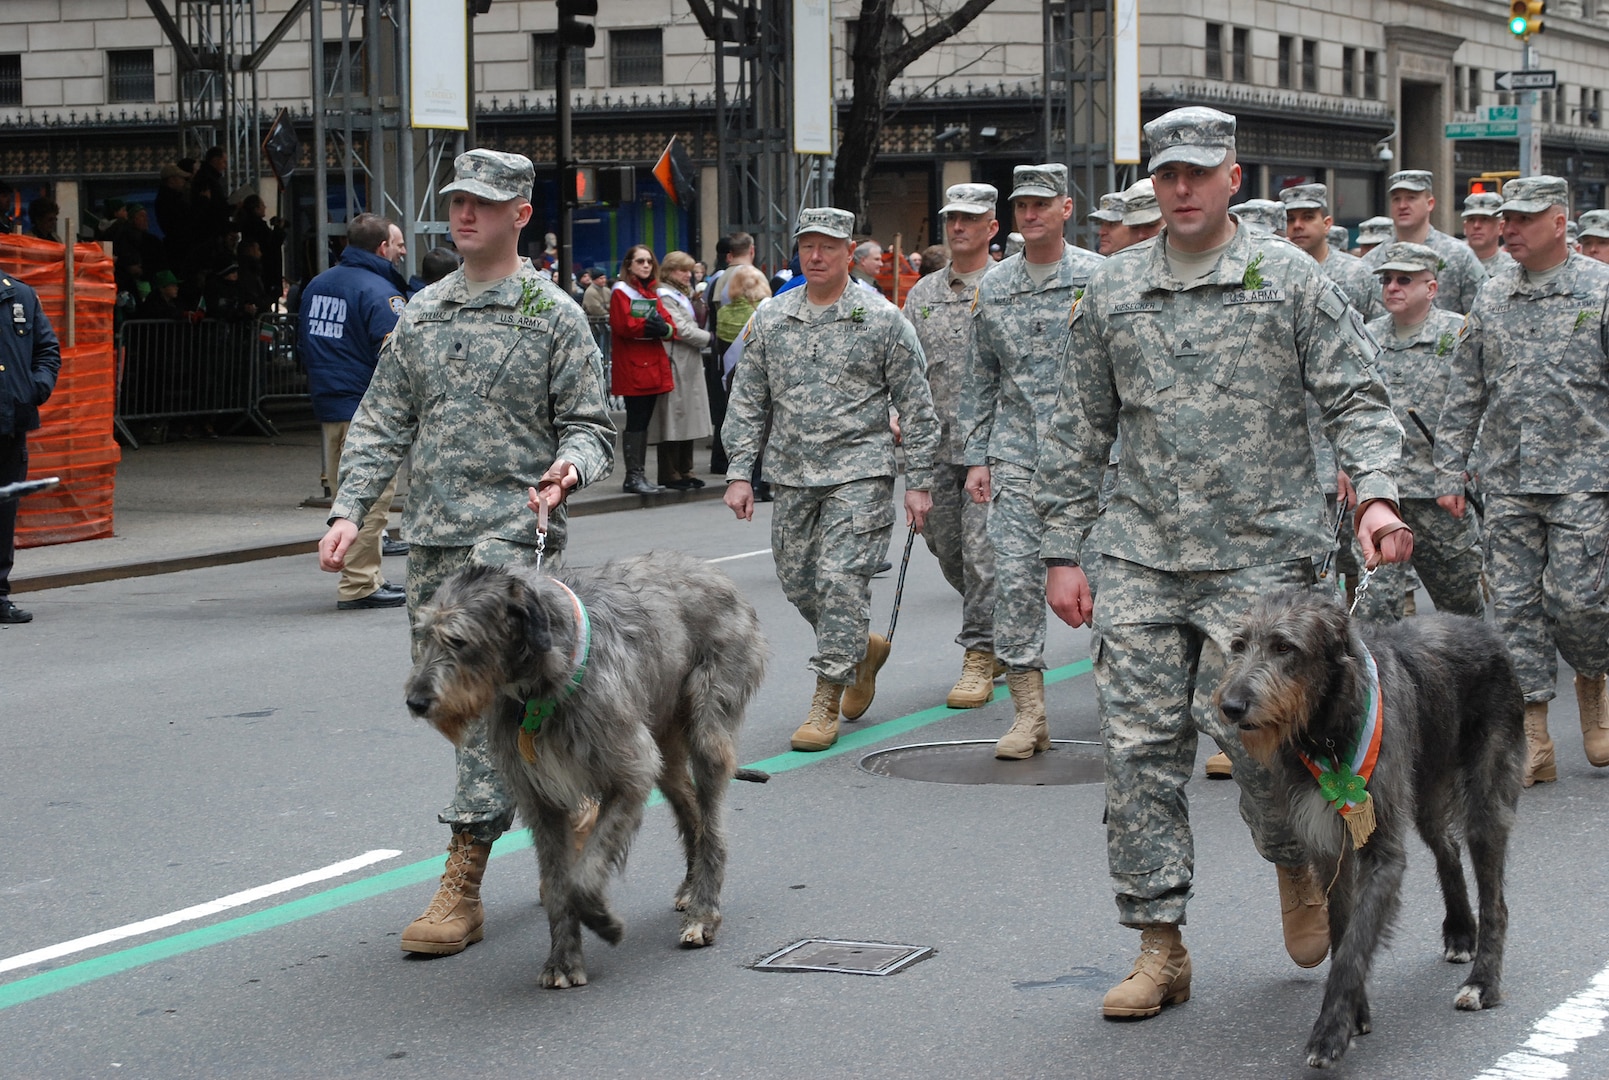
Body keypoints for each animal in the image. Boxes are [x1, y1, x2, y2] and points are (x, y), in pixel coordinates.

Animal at [402, 556, 765, 991]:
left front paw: (604, 923)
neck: (542, 684)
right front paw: (562, 958)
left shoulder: (629, 773)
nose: (415, 701)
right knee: (690, 808)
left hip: (708, 720)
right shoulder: (540, 800)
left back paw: (703, 912)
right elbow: (559, 884)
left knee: (712, 823)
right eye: (423, 636)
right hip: (663, 737)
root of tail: (713, 572)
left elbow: (583, 877)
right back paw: (691, 889)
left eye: (458, 640)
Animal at [1216, 592, 1518, 1075]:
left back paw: (1483, 983)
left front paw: (1330, 1030)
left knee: (1496, 897)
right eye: (1238, 645)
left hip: (1485, 794)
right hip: (1424, 786)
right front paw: (1356, 1013)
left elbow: (1357, 942)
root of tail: (1485, 628)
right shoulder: (1327, 844)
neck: (1327, 730)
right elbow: (1342, 931)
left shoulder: (1381, 850)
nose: (1230, 706)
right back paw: (1459, 931)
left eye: (1284, 647)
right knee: (1446, 846)